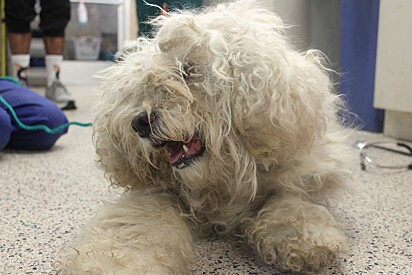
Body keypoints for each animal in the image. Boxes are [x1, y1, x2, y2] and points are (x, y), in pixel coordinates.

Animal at [59, 1, 352, 274]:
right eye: (139, 88)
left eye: (186, 70)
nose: (139, 122)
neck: (221, 184)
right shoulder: (158, 195)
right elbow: (138, 229)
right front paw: (114, 265)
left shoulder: (297, 174)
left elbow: (289, 199)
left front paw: (303, 237)